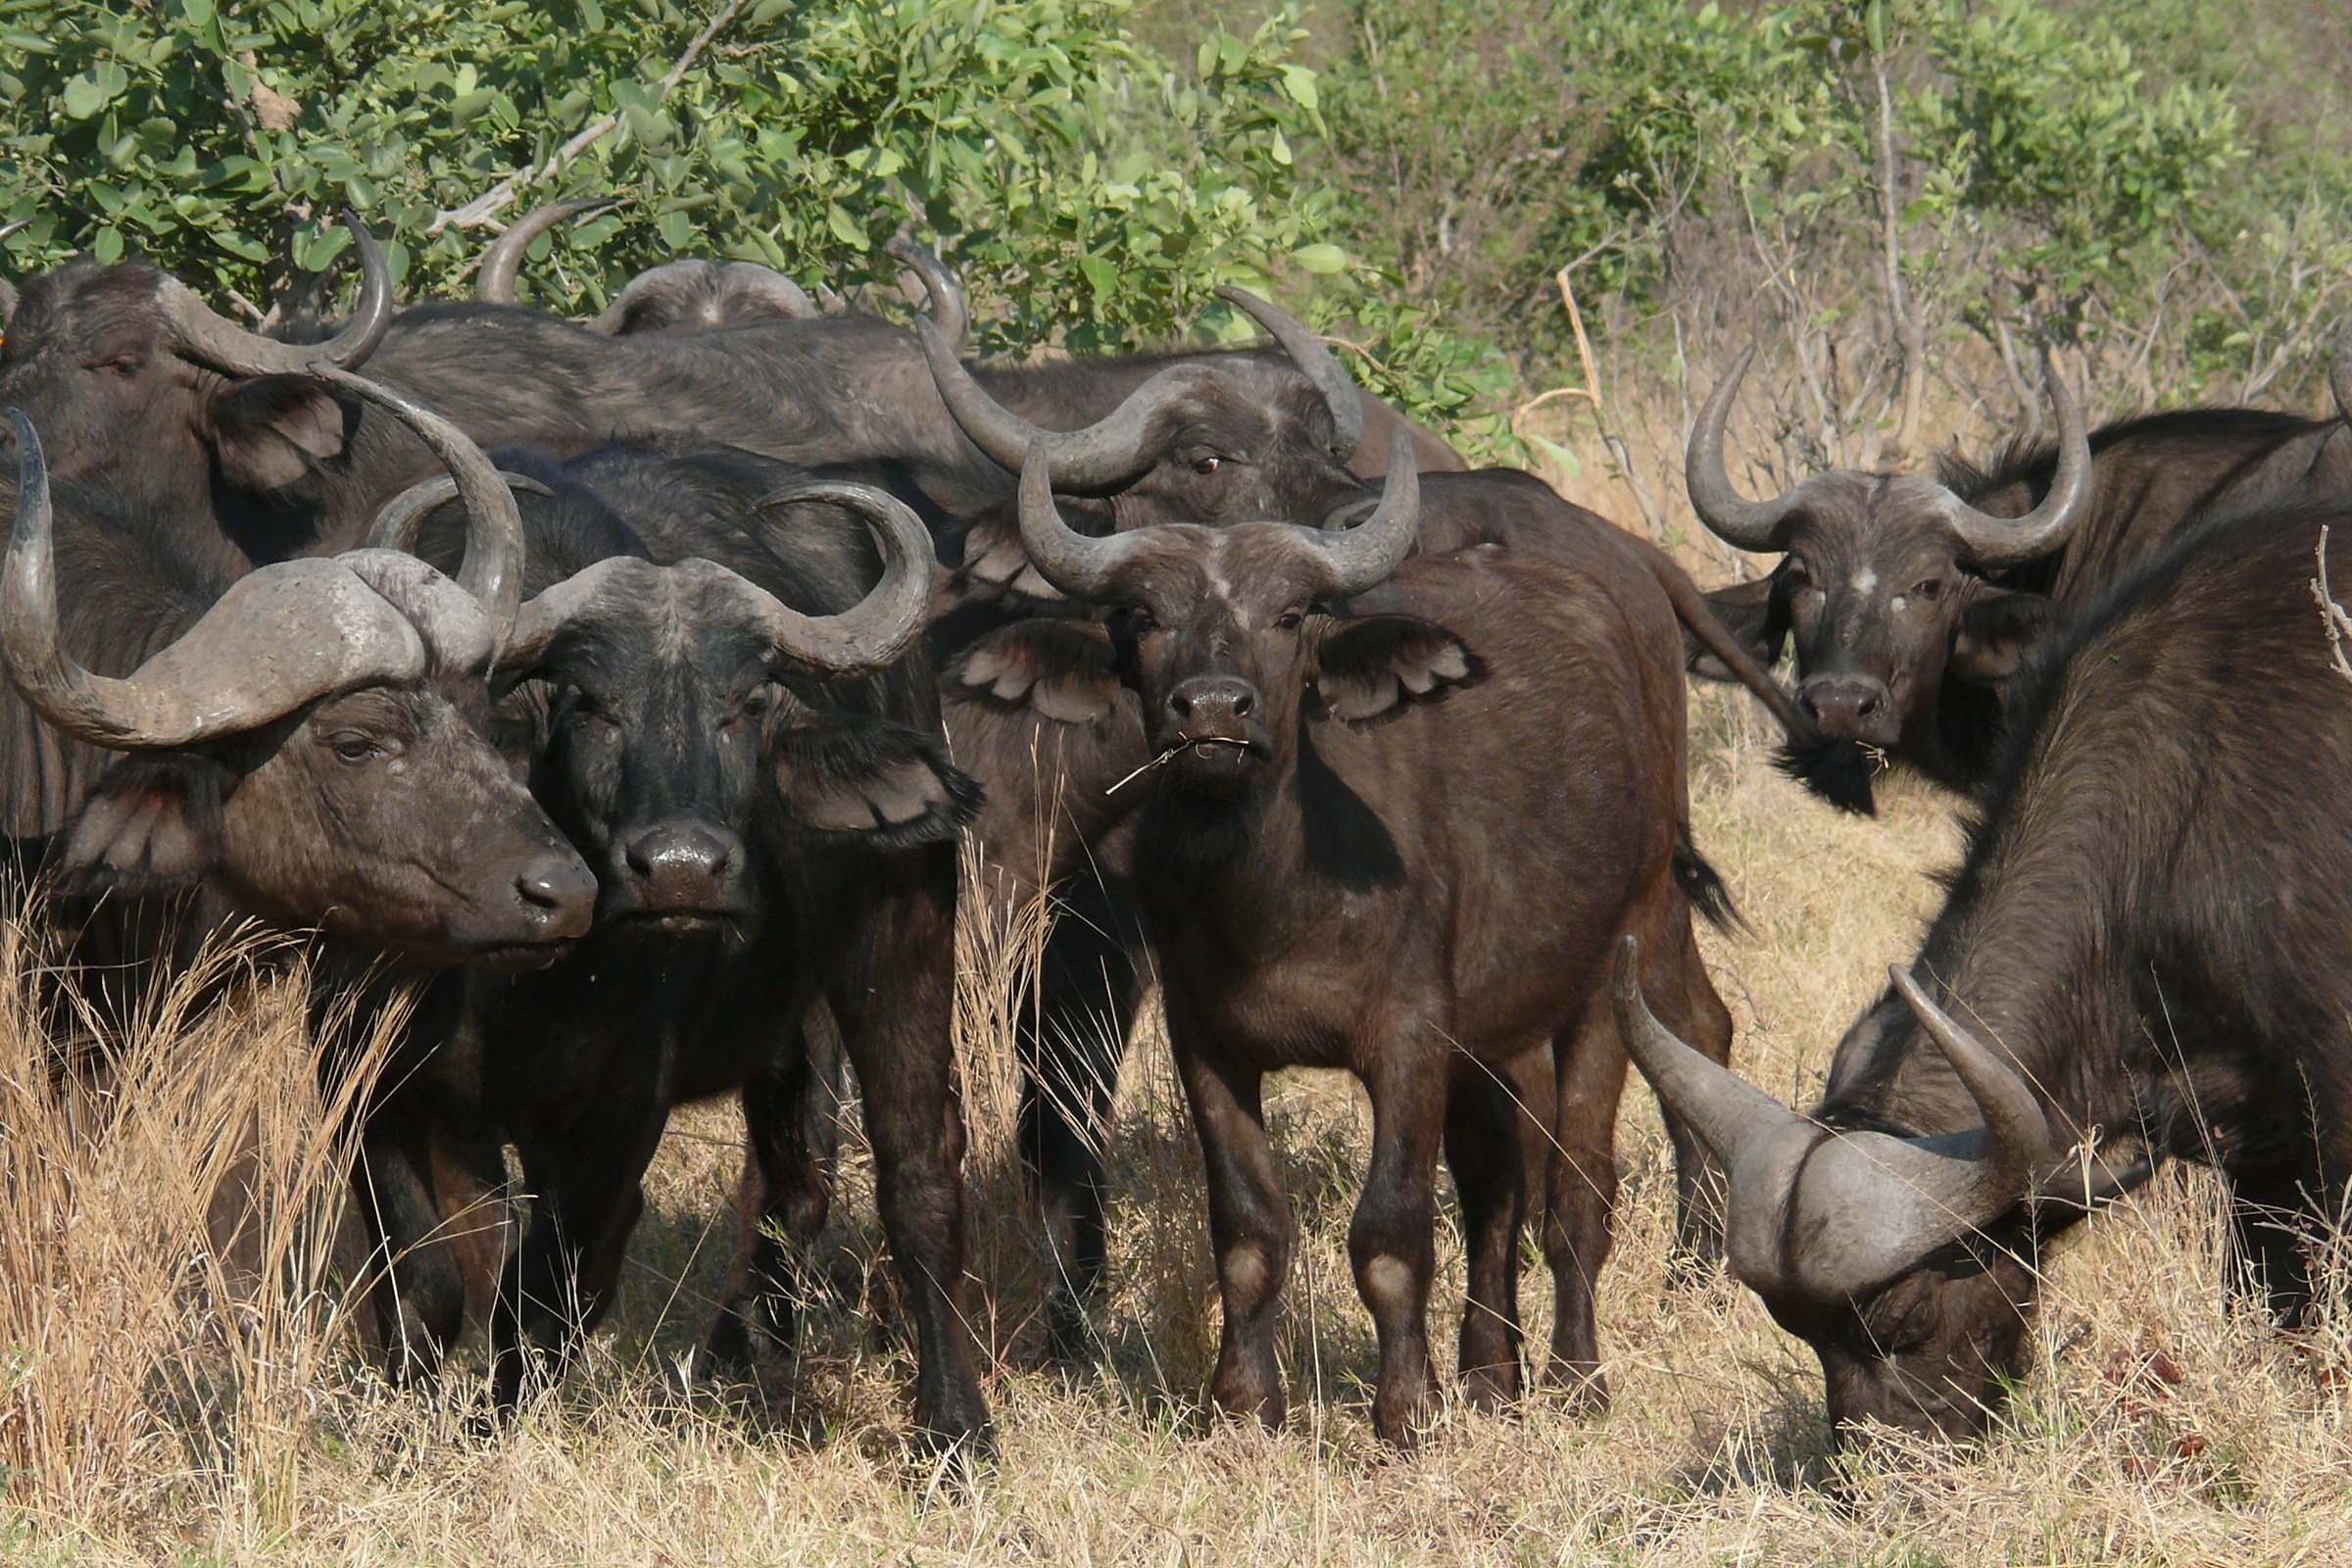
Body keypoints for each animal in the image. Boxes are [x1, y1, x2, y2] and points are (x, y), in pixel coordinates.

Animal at [1618, 493, 2352, 1442]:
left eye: (1906, 1319)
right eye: (1800, 1332)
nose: (1887, 1464)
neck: (2183, 821)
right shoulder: (2255, 1156)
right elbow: (2267, 1299)